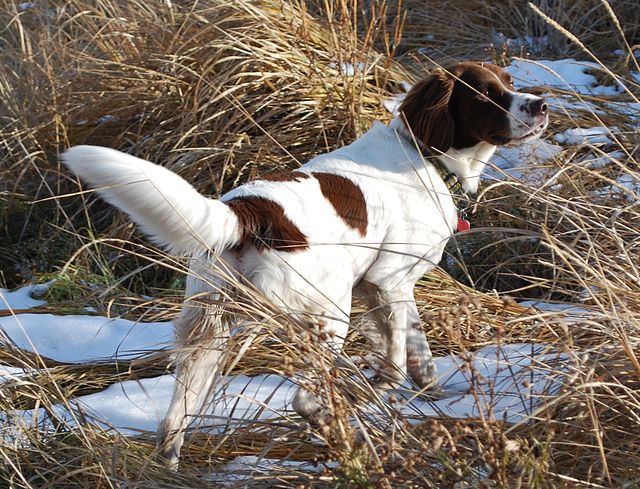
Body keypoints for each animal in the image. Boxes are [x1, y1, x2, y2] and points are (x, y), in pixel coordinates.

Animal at [61, 61, 552, 466]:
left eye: (509, 82)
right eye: (486, 93)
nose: (542, 105)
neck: (424, 155)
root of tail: (247, 212)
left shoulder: (370, 285)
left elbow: (404, 352)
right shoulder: (390, 280)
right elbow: (403, 355)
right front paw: (391, 389)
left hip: (209, 329)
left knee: (173, 422)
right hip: (327, 311)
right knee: (305, 401)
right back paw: (348, 438)